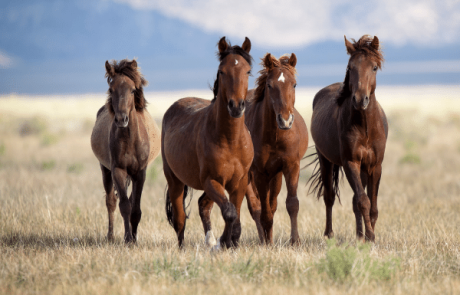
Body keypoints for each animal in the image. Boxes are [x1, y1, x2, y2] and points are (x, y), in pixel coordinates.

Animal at [90, 59, 161, 244]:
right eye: (111, 89)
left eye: (133, 90)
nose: (122, 119)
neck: (129, 140)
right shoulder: (118, 171)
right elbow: (124, 206)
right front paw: (128, 239)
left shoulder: (140, 173)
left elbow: (135, 208)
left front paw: (134, 238)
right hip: (105, 170)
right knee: (111, 202)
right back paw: (110, 236)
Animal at [163, 37, 255, 250]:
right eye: (222, 71)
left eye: (248, 71)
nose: (236, 106)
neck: (230, 140)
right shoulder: (211, 181)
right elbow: (229, 212)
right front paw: (225, 241)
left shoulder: (239, 182)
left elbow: (235, 213)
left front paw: (229, 241)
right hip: (174, 180)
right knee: (180, 219)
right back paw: (184, 248)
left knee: (203, 205)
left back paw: (211, 240)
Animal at [199, 52, 310, 245]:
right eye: (270, 85)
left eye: (294, 84)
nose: (285, 120)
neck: (274, 136)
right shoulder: (258, 173)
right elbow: (263, 211)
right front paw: (267, 244)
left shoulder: (291, 166)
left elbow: (292, 204)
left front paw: (295, 241)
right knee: (256, 207)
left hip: (275, 175)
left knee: (271, 205)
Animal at [310, 35, 388, 243]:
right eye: (350, 67)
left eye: (374, 67)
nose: (360, 100)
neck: (365, 127)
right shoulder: (350, 162)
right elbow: (363, 201)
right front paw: (370, 237)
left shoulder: (375, 165)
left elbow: (372, 205)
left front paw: (369, 236)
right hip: (326, 160)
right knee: (329, 197)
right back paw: (329, 234)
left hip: (363, 168)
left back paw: (359, 235)